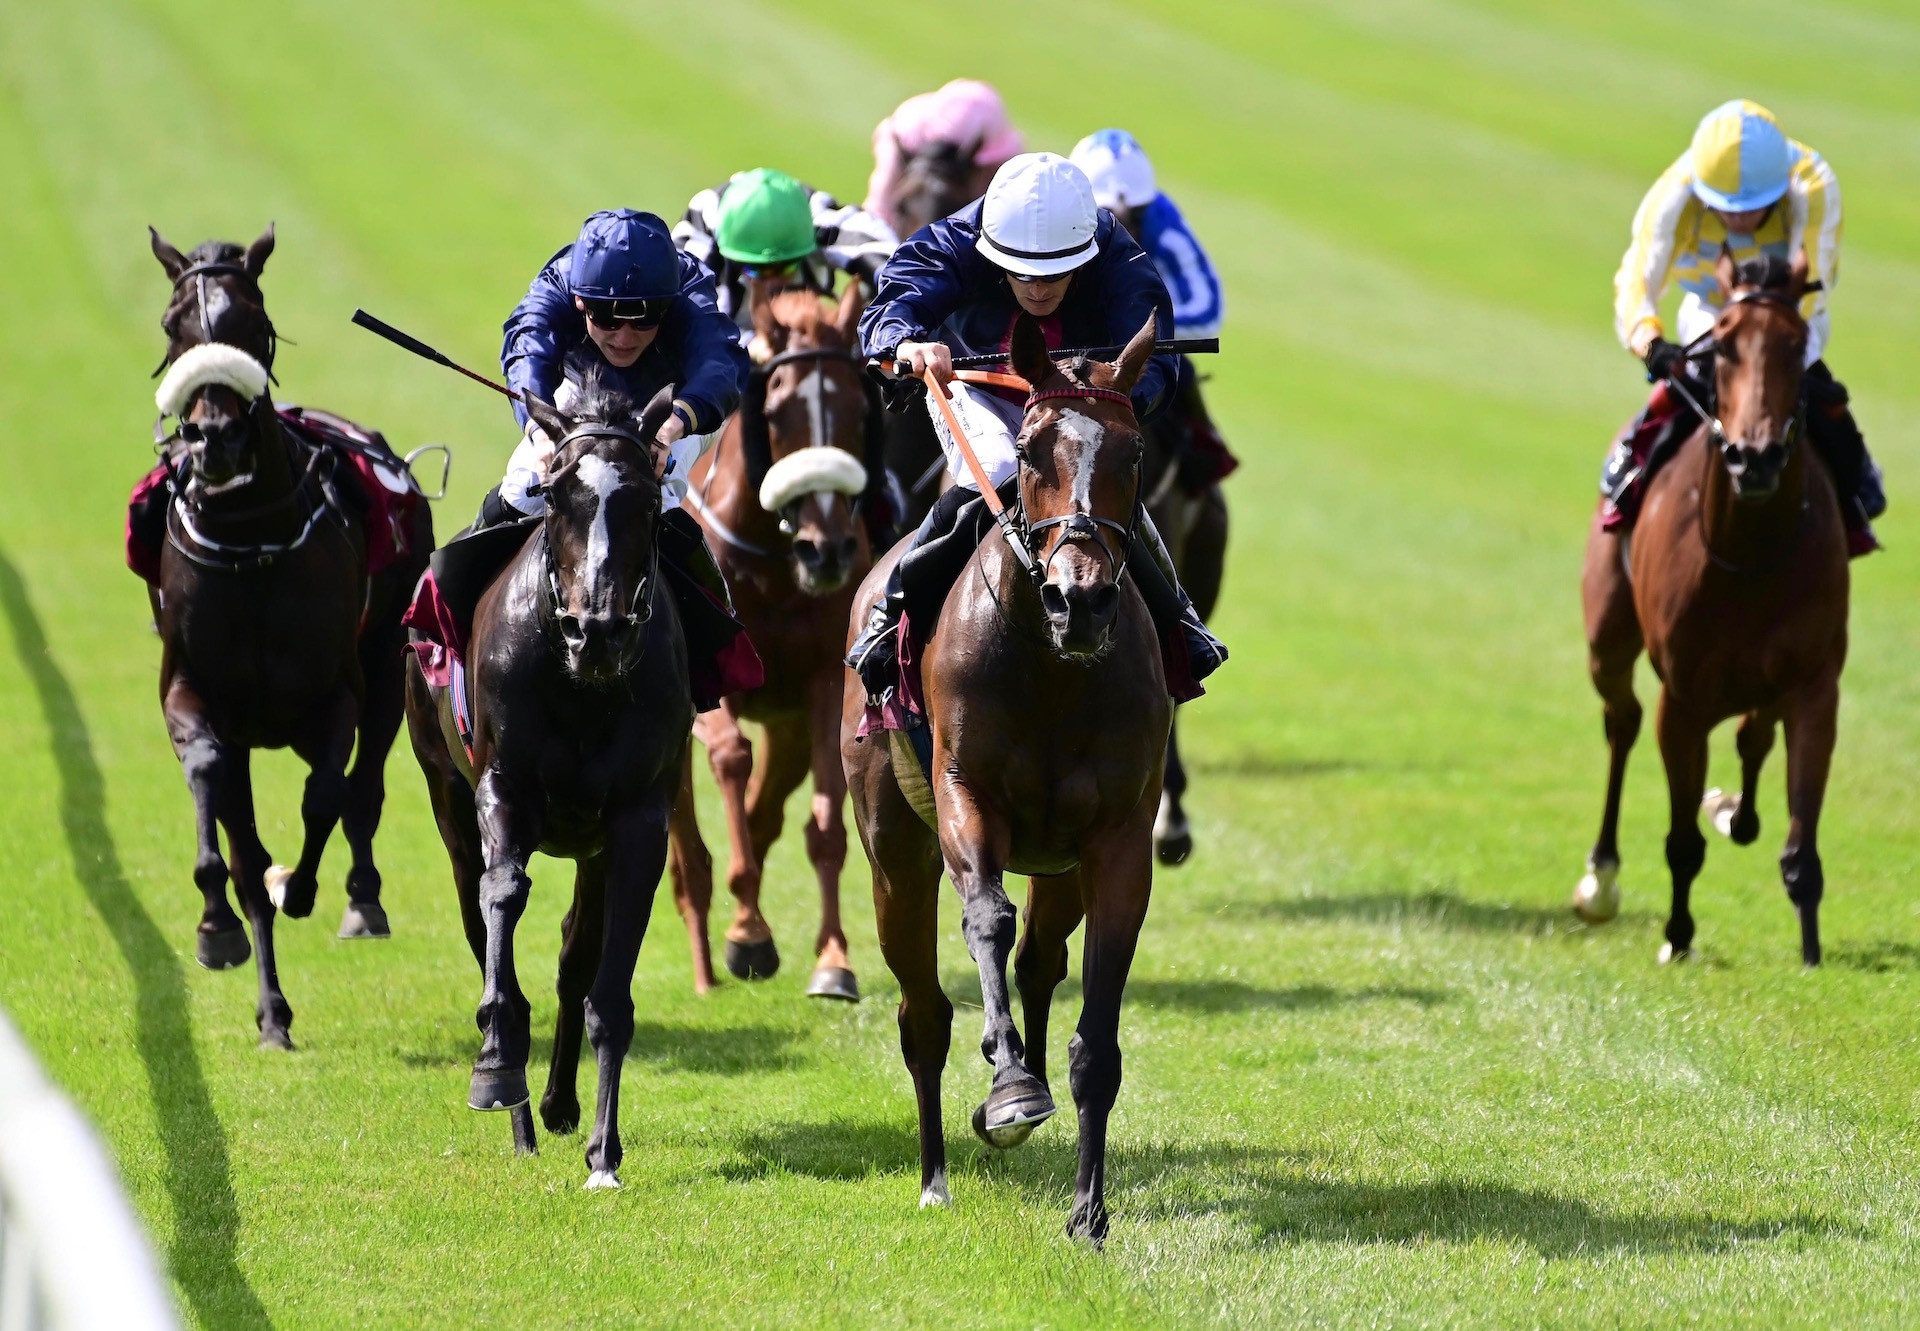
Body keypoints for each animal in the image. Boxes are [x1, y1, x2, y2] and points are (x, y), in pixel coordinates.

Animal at [148, 222, 435, 941]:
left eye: (254, 319)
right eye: (172, 324)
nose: (216, 437)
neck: (252, 541)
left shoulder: (338, 687)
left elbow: (331, 790)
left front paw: (301, 888)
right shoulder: (191, 684)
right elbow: (211, 774)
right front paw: (219, 917)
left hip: (388, 660)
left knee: (365, 784)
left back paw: (362, 896)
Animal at [405, 368, 698, 1175]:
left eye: (644, 498)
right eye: (559, 492)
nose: (596, 629)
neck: (581, 686)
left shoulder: (636, 821)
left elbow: (606, 985)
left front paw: (603, 1147)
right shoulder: (502, 788)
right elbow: (502, 896)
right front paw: (498, 1063)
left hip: (589, 843)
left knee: (574, 954)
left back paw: (561, 1104)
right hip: (445, 794)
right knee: (477, 914)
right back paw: (520, 1112)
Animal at [664, 288, 867, 998]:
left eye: (856, 406)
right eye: (777, 412)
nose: (827, 549)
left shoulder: (825, 680)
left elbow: (827, 825)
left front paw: (833, 960)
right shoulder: (707, 682)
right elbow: (729, 756)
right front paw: (749, 933)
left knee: (767, 807)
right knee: (685, 827)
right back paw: (703, 955)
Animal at [848, 314, 1175, 1244]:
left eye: (1135, 451)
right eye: (1029, 449)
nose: (1081, 599)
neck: (1052, 670)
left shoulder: (1114, 840)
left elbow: (1096, 1034)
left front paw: (1090, 1209)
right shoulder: (966, 798)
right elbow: (986, 918)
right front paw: (1010, 1090)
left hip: (1055, 865)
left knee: (1038, 962)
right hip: (893, 854)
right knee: (922, 1011)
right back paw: (935, 1172)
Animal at [1582, 249, 1850, 960]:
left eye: (1797, 345)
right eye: (1723, 347)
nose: (1753, 457)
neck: (1749, 554)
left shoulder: (1815, 684)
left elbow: (1801, 843)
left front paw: (1810, 951)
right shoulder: (1684, 697)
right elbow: (1681, 842)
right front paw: (1677, 936)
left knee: (1753, 735)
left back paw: (1737, 810)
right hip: (1607, 637)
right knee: (1621, 720)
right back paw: (1600, 879)